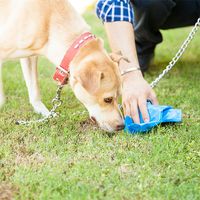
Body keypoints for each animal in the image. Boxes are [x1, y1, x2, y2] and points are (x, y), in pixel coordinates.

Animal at [0, 0, 124, 132]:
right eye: (107, 99)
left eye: (119, 96)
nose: (122, 126)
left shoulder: (30, 57)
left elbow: (34, 88)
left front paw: (44, 113)